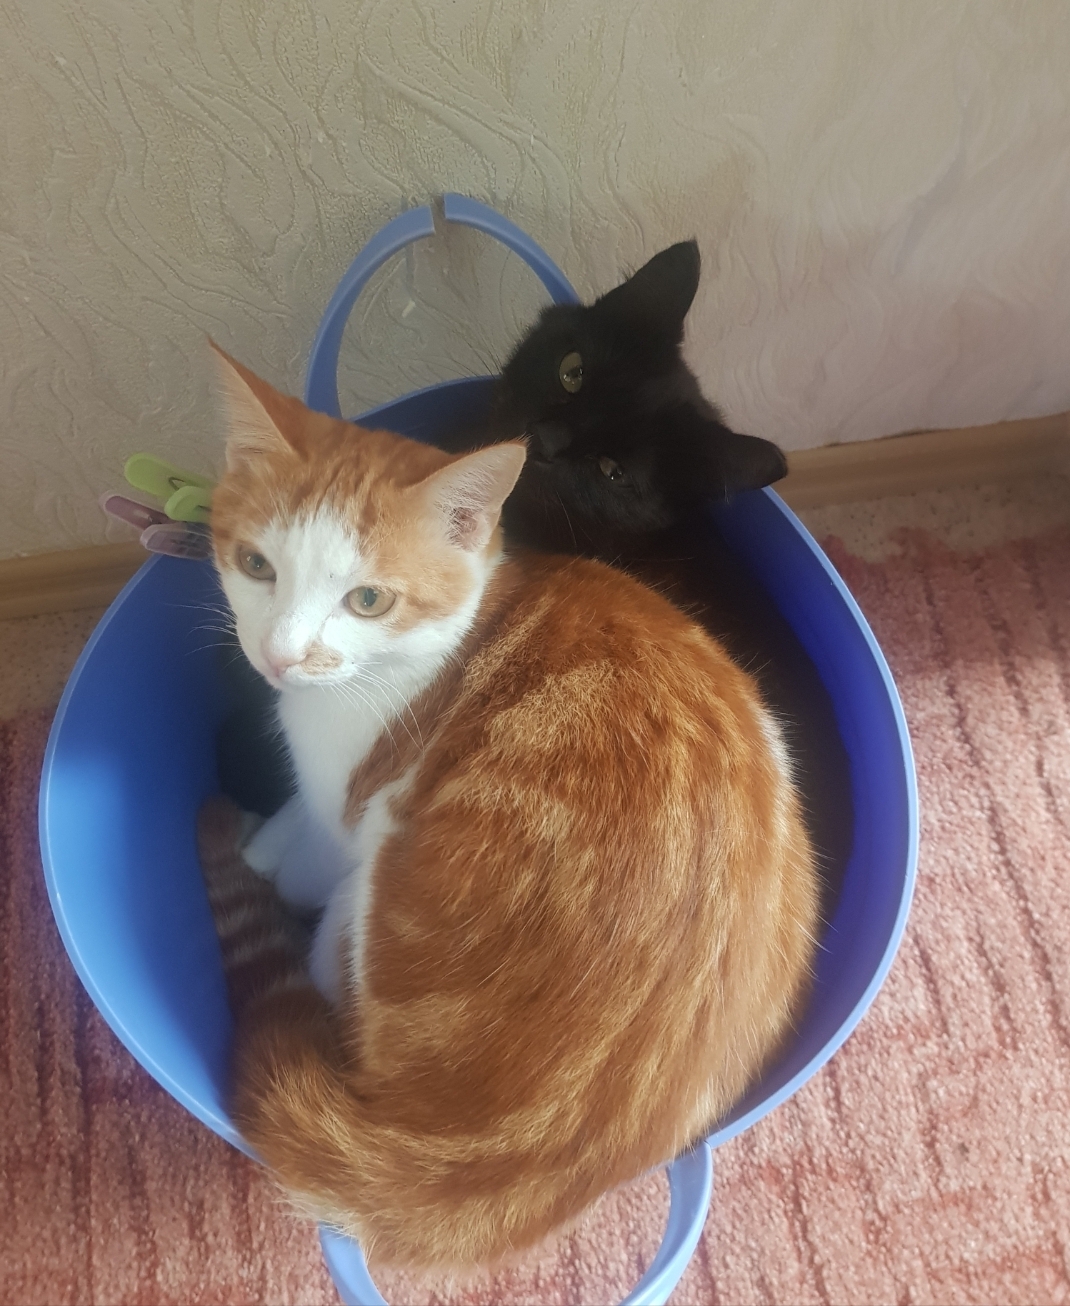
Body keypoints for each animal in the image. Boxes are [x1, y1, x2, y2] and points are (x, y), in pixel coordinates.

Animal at [199, 345, 820, 1270]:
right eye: (257, 566)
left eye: (368, 600)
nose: (281, 656)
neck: (449, 636)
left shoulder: (346, 800)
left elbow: (304, 848)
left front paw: (259, 848)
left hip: (363, 913)